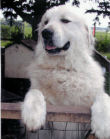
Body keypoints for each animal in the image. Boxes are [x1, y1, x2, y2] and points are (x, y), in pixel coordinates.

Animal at [21, 4, 110, 138]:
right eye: (46, 22)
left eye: (65, 21)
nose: (45, 33)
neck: (63, 69)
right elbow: (35, 92)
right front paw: (33, 115)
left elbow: (104, 96)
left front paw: (104, 125)